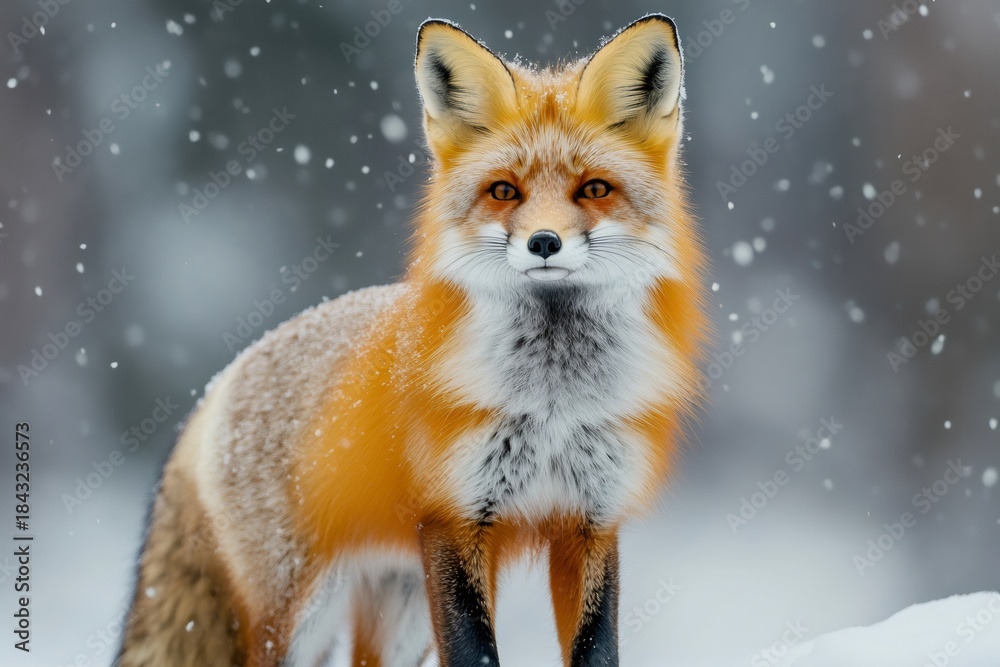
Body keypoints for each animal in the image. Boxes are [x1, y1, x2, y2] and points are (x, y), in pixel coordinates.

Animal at [118, 14, 709, 667]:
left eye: (595, 190)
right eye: (504, 192)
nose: (544, 243)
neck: (552, 400)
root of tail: (222, 381)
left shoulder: (591, 521)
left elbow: (596, 649)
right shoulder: (454, 518)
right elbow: (476, 654)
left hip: (399, 608)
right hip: (301, 617)